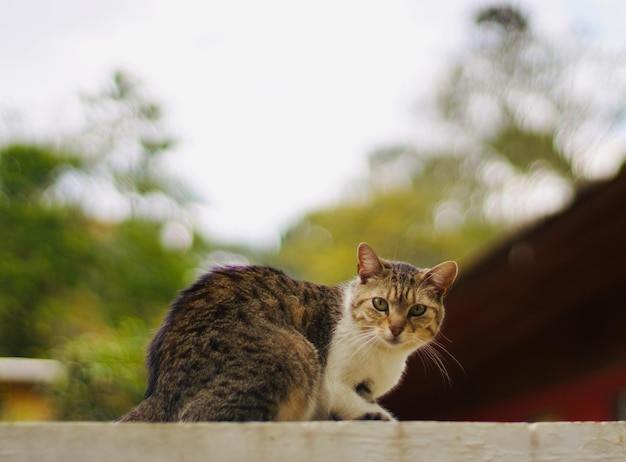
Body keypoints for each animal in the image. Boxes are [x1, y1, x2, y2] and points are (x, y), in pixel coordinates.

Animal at [117, 242, 456, 422]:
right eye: (380, 304)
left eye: (417, 310)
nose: (396, 328)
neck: (384, 357)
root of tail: (160, 391)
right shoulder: (331, 382)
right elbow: (355, 403)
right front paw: (378, 416)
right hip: (295, 354)